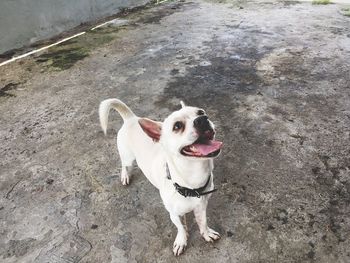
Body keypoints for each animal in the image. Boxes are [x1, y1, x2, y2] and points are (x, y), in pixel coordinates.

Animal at [98, 99, 224, 256]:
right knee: (124, 165)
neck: (193, 179)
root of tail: (131, 118)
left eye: (201, 112)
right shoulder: (173, 214)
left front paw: (206, 233)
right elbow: (180, 227)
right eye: (177, 126)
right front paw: (181, 240)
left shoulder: (201, 207)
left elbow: (203, 222)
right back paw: (125, 175)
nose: (202, 119)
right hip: (127, 157)